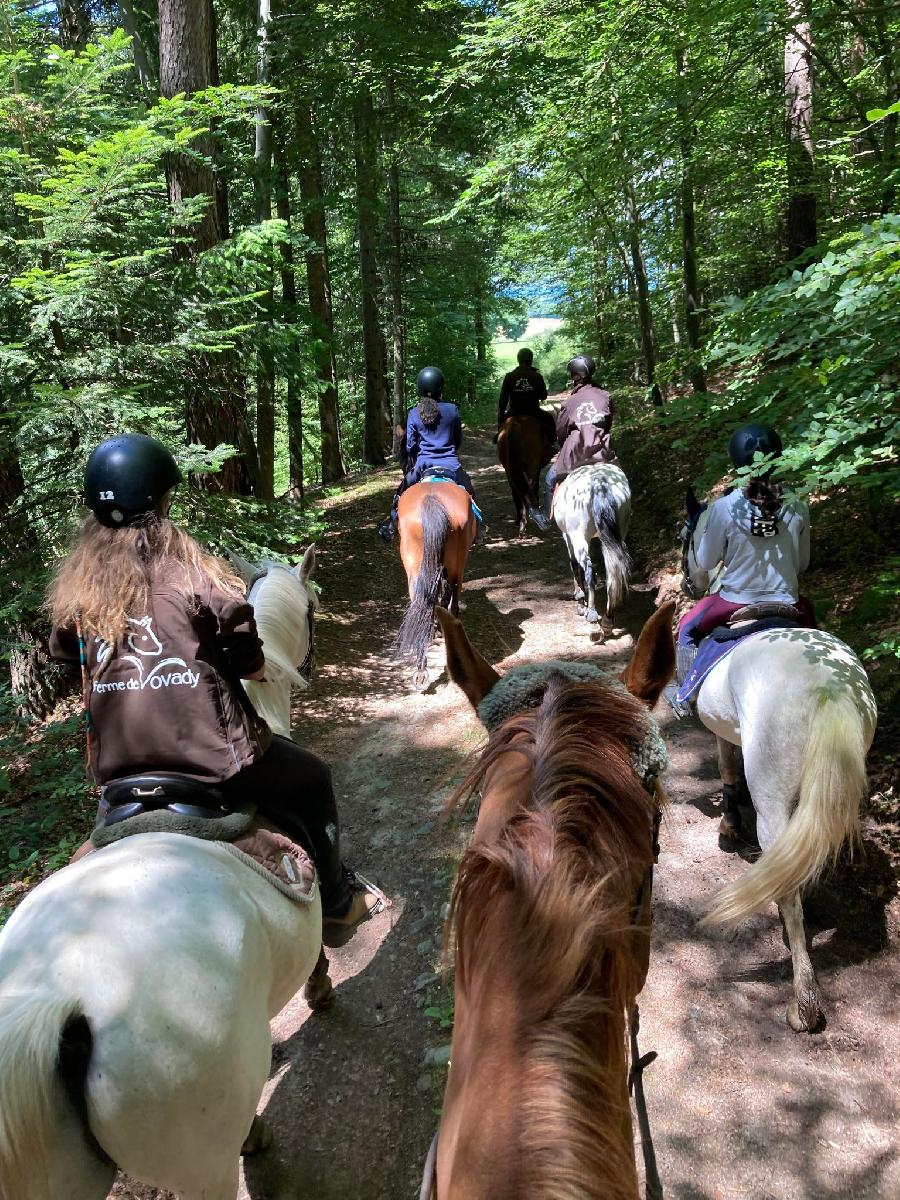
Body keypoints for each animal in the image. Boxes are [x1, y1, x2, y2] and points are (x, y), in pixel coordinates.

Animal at [396, 477, 480, 686]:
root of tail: (432, 500)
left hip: (416, 570)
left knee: (422, 606)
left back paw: (420, 670)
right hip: (458, 566)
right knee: (452, 604)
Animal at [554, 458, 628, 633]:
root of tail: (599, 484)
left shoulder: (568, 536)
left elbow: (575, 565)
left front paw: (581, 602)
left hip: (578, 536)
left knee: (587, 567)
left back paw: (592, 613)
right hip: (619, 533)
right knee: (613, 571)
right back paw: (608, 617)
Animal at [681, 506, 878, 1032]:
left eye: (689, 538)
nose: (688, 582)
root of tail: (830, 683)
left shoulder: (724, 734)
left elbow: (727, 771)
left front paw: (729, 825)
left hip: (772, 791)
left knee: (786, 881)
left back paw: (803, 1002)